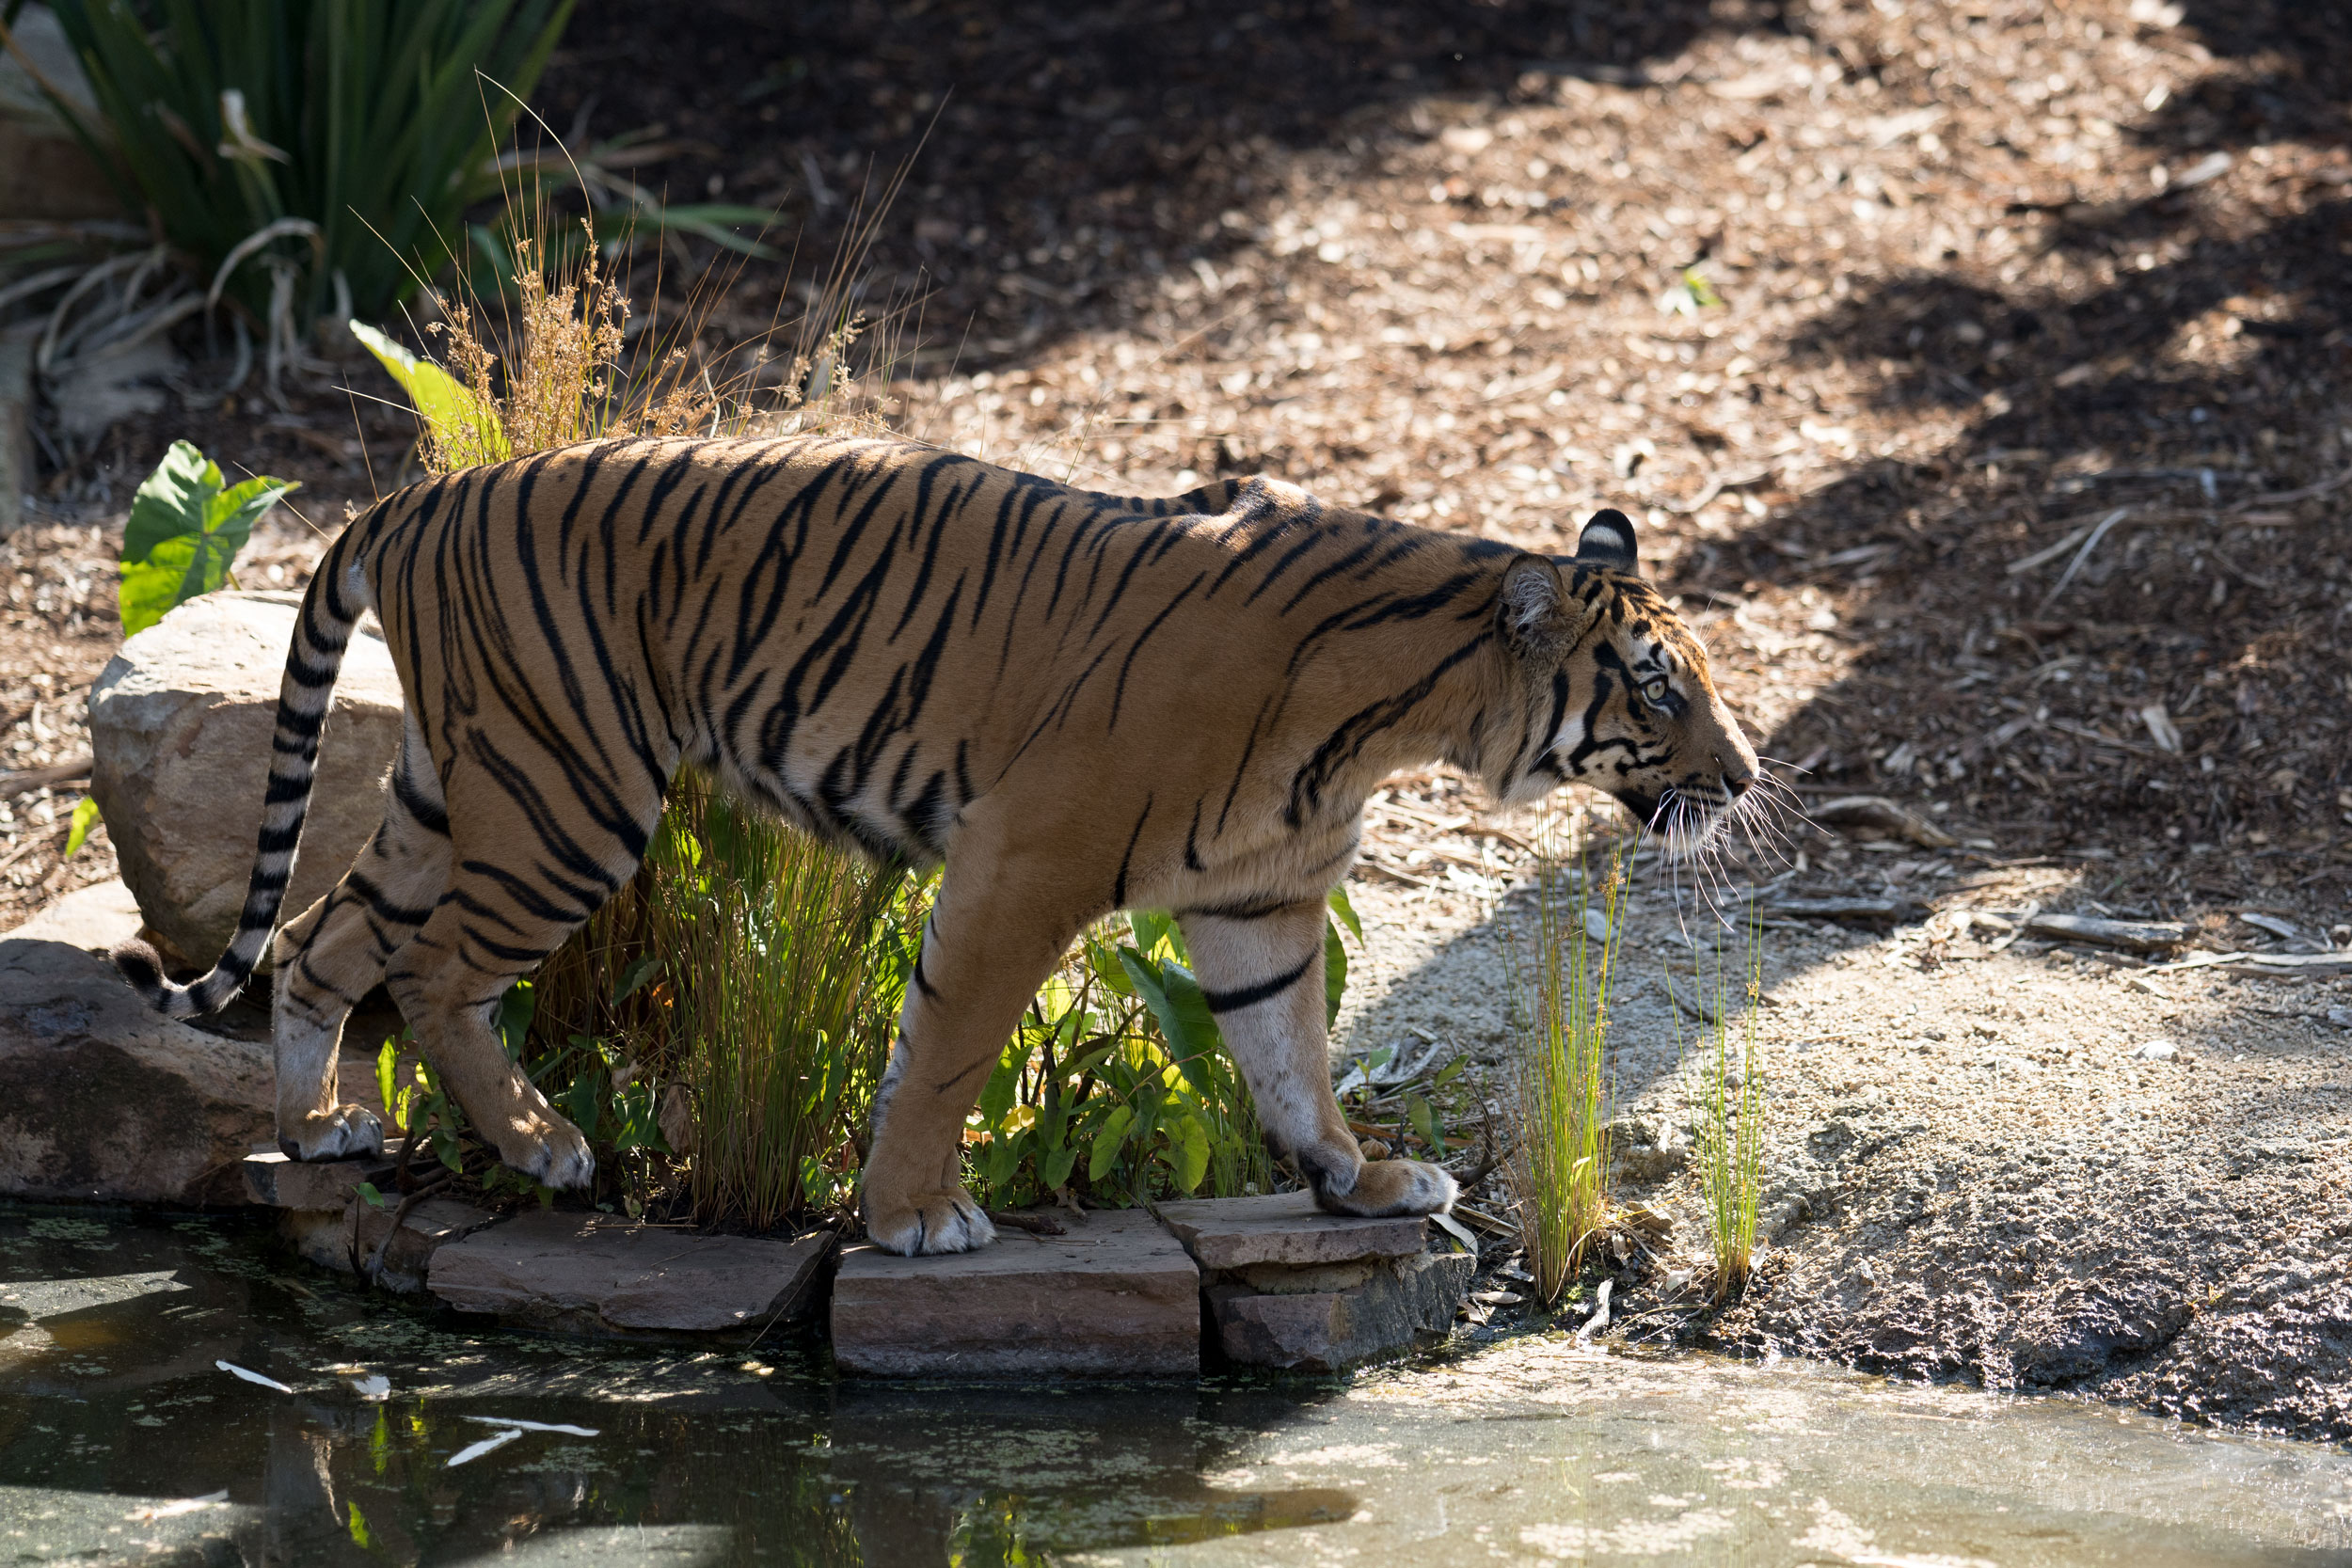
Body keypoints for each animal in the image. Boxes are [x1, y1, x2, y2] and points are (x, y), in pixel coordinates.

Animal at [114, 432, 1769, 1259]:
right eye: (1656, 687)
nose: (1750, 775)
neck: (1399, 710)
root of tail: (422, 490)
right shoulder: (1029, 858)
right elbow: (953, 1044)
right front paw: (916, 1215)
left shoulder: (1264, 900)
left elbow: (1290, 1053)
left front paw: (1357, 1183)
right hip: (565, 798)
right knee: (439, 969)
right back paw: (540, 1142)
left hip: (456, 784)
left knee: (322, 935)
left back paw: (321, 1127)